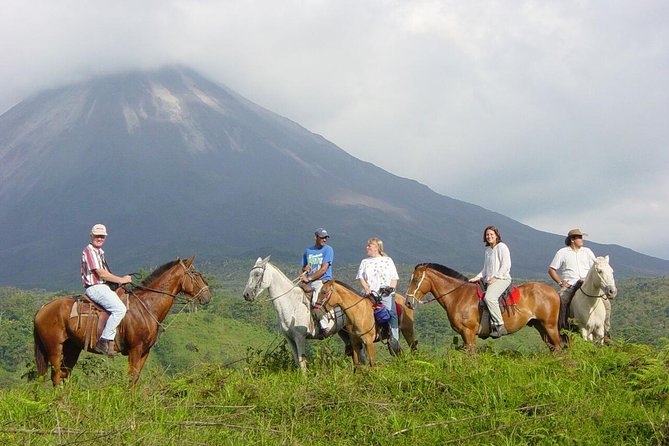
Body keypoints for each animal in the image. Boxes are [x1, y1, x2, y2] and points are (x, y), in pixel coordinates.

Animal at [32, 256, 210, 386]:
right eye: (195, 274)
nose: (208, 296)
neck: (146, 306)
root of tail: (42, 308)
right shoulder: (135, 350)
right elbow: (131, 378)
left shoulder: (145, 352)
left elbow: (135, 378)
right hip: (54, 348)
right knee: (56, 376)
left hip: (72, 348)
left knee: (65, 374)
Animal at [402, 262, 564, 352]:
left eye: (416, 279)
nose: (408, 302)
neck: (458, 296)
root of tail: (554, 292)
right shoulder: (464, 334)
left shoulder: (468, 332)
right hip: (540, 326)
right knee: (553, 348)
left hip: (549, 325)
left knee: (558, 346)